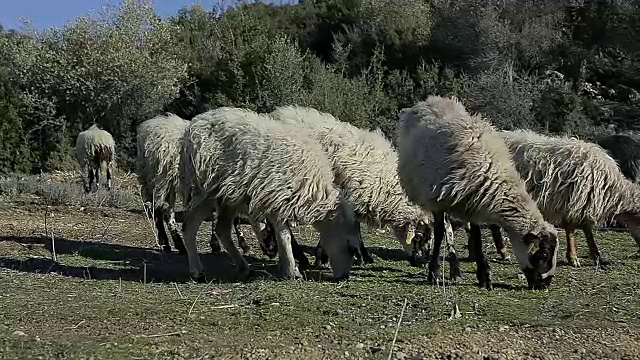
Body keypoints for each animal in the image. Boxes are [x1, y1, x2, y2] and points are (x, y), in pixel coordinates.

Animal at [136, 112, 272, 256]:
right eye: (270, 227)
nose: (272, 252)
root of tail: (150, 124)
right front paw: (227, 245)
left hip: (166, 183)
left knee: (166, 211)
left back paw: (179, 245)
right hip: (158, 179)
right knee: (159, 209)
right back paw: (166, 243)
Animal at [180, 106, 360, 282]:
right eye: (351, 248)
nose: (344, 277)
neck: (314, 188)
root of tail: (195, 123)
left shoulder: (277, 201)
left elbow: (281, 235)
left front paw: (286, 266)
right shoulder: (278, 198)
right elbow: (284, 235)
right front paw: (292, 270)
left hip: (228, 197)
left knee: (222, 230)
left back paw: (243, 267)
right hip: (205, 189)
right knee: (189, 227)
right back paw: (197, 271)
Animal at [268, 104, 432, 268]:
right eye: (419, 237)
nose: (424, 262)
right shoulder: (348, 198)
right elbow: (354, 229)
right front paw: (327, 258)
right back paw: (297, 256)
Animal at [398, 95, 556, 290]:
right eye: (543, 255)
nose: (544, 285)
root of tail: (430, 100)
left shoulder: (472, 203)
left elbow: (477, 236)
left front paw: (484, 275)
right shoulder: (438, 201)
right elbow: (441, 233)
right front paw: (433, 272)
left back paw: (455, 270)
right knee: (445, 230)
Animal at [492, 131, 640, 266]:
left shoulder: (581, 202)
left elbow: (585, 229)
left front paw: (596, 256)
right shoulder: (572, 200)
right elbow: (571, 229)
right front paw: (573, 257)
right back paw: (504, 252)